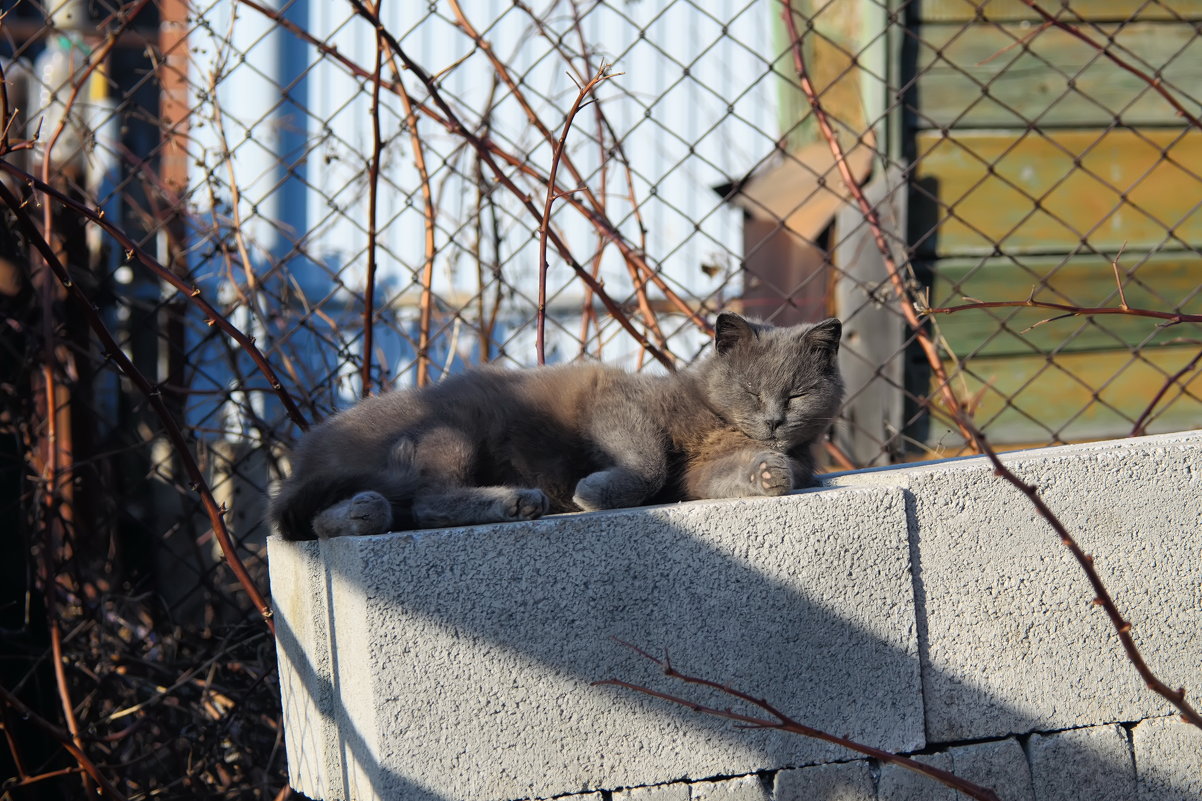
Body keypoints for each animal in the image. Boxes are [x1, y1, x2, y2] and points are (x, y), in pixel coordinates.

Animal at [270, 312, 846, 536]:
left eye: (796, 395)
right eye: (750, 390)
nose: (773, 421)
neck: (718, 422)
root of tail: (303, 457)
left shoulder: (700, 474)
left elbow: (714, 476)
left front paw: (771, 473)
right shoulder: (615, 397)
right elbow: (651, 463)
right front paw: (594, 492)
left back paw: (363, 513)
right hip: (448, 434)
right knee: (429, 499)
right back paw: (516, 501)